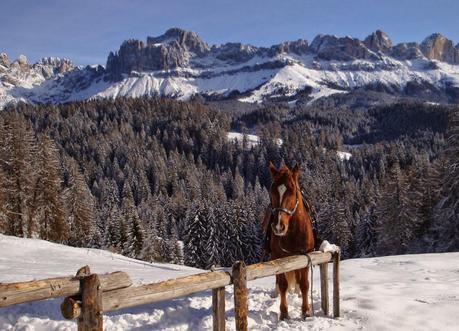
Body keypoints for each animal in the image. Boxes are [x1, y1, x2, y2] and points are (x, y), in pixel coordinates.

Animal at [262, 162, 316, 320]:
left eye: (292, 190)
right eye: (272, 190)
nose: (279, 226)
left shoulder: (305, 256)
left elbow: (304, 283)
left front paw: (306, 311)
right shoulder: (278, 257)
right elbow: (283, 284)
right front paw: (284, 312)